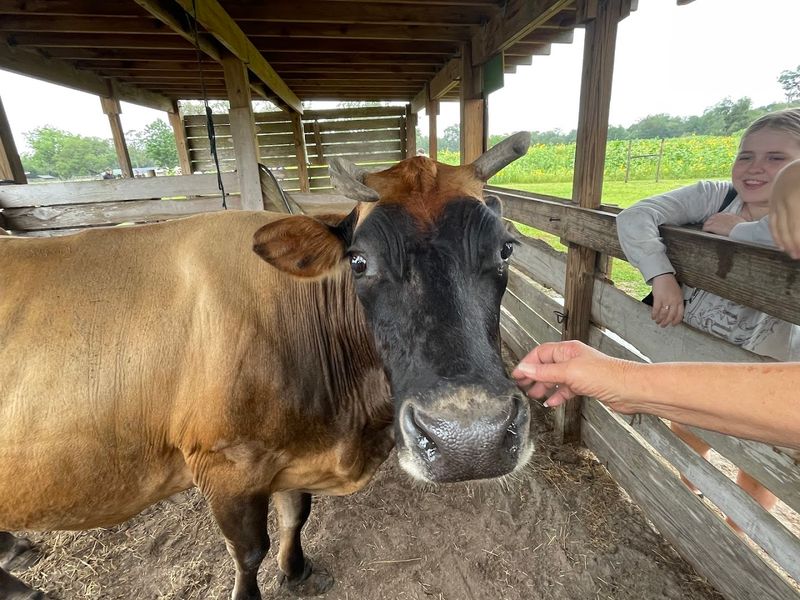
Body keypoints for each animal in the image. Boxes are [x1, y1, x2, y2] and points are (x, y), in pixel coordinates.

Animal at [0, 132, 534, 600]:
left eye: (506, 248)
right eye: (358, 261)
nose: (471, 440)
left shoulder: (290, 455)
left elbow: (295, 515)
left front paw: (296, 571)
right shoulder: (225, 466)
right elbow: (248, 550)